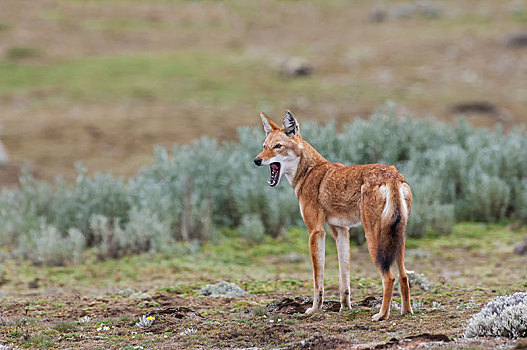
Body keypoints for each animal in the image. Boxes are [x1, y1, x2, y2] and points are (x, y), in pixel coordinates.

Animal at [254, 110, 414, 322]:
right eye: (264, 146)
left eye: (278, 146)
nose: (256, 160)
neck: (308, 172)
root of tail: (392, 174)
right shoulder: (341, 230)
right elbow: (344, 278)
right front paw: (345, 308)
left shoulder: (315, 231)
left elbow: (318, 279)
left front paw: (314, 309)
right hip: (397, 238)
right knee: (404, 276)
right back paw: (406, 311)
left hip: (373, 238)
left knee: (390, 277)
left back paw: (381, 315)